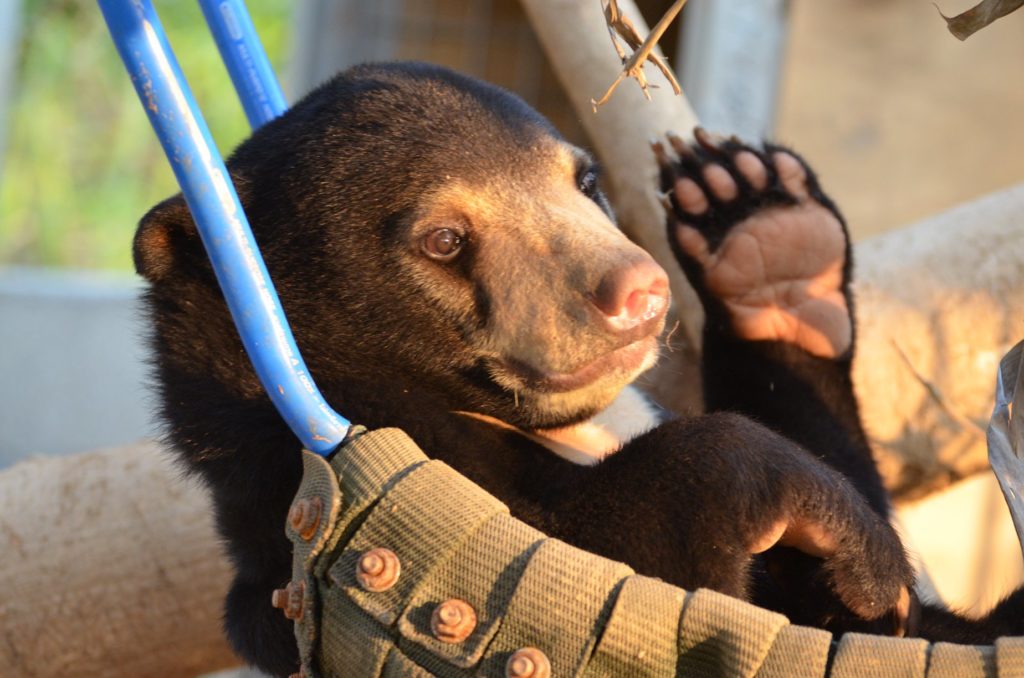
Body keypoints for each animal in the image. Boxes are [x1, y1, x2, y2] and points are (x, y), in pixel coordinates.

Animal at [133, 62, 1024, 676]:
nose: (640, 292)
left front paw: (756, 222)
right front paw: (856, 548)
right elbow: (626, 545)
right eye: (444, 240)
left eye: (585, 181)